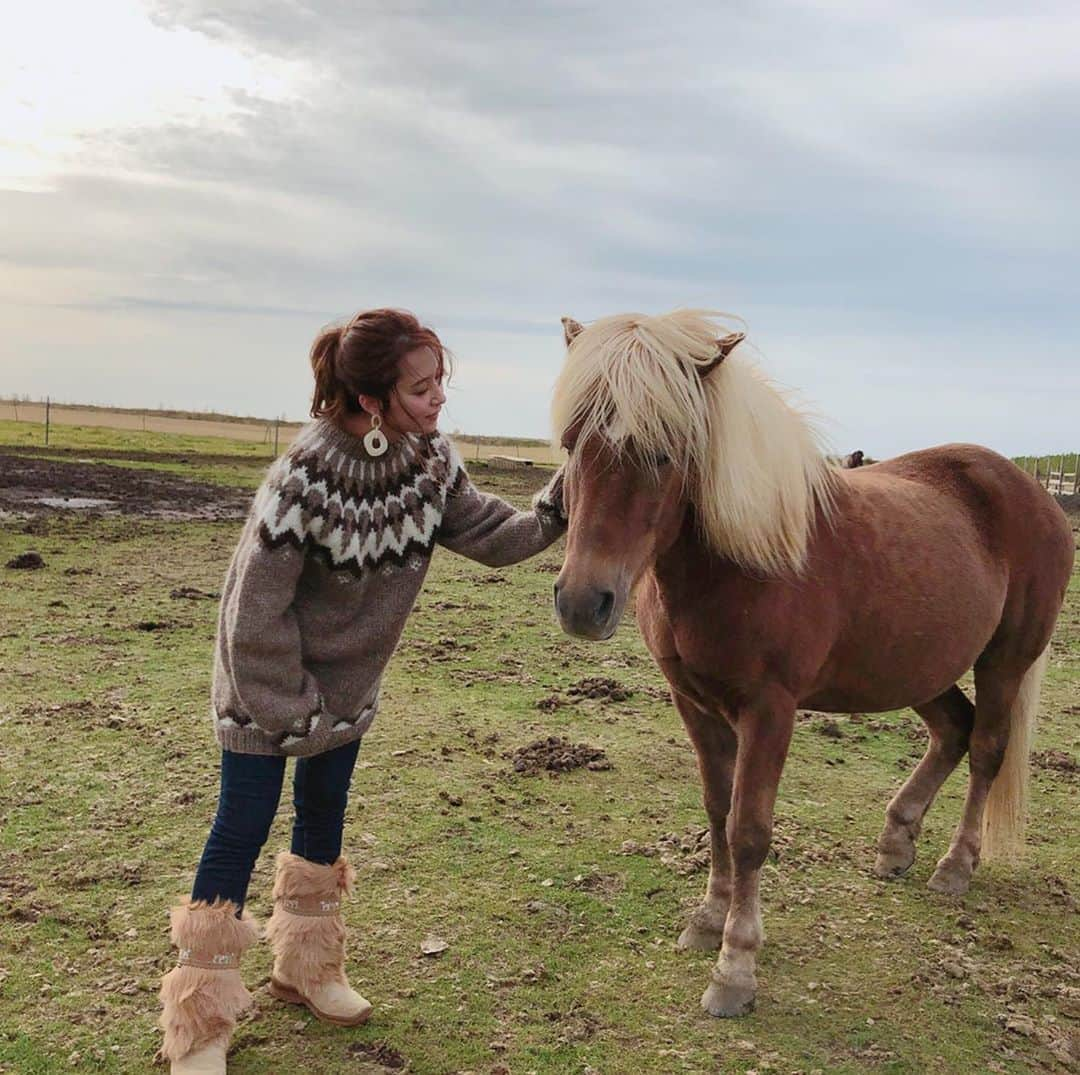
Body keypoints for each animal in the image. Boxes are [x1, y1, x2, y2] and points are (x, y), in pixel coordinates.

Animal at [552, 308, 1075, 1015]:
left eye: (664, 451)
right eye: (570, 443)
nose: (584, 602)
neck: (740, 561)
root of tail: (1039, 497)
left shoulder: (770, 710)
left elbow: (749, 829)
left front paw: (736, 967)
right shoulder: (694, 703)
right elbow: (717, 810)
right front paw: (708, 920)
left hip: (1004, 662)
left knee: (988, 747)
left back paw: (955, 866)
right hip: (918, 665)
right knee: (953, 730)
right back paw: (896, 841)